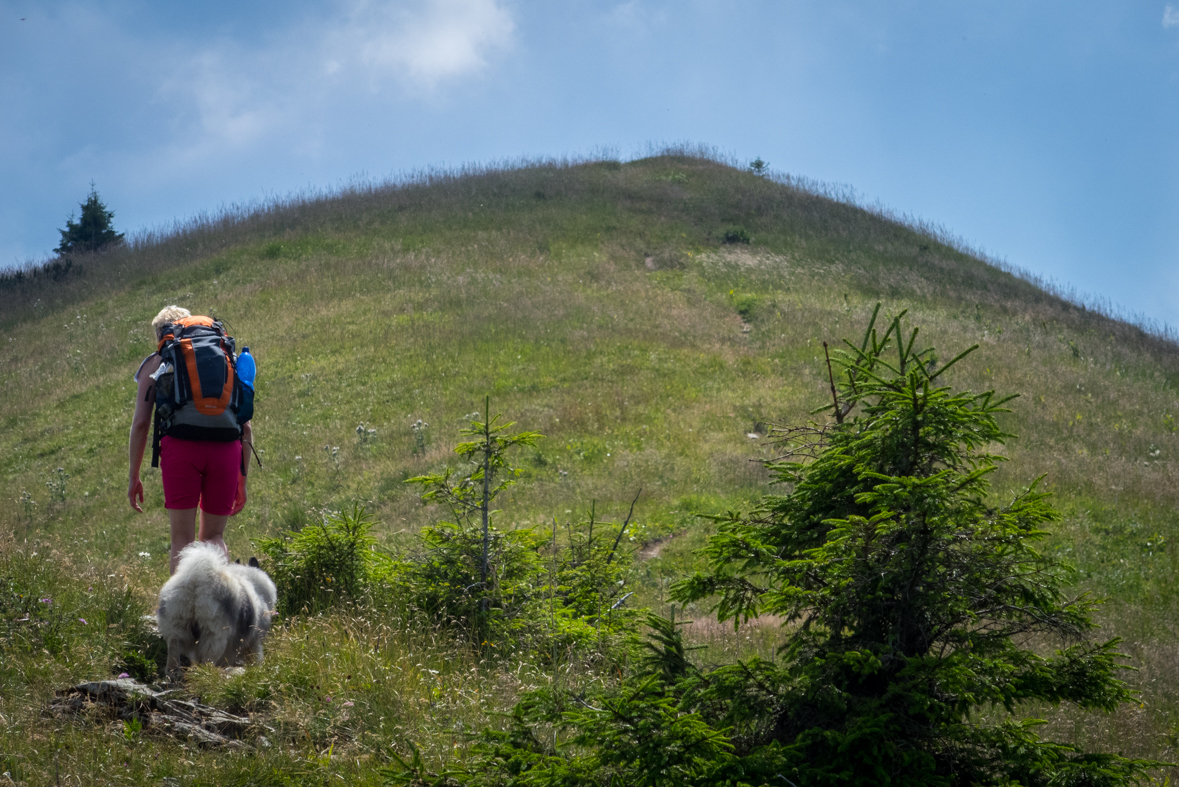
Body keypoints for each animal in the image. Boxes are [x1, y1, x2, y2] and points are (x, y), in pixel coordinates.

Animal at [156, 544, 278, 678]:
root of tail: (197, 582)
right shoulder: (255, 640)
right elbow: (255, 656)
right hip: (214, 635)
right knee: (208, 661)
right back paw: (210, 674)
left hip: (176, 628)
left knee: (173, 653)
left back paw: (174, 674)